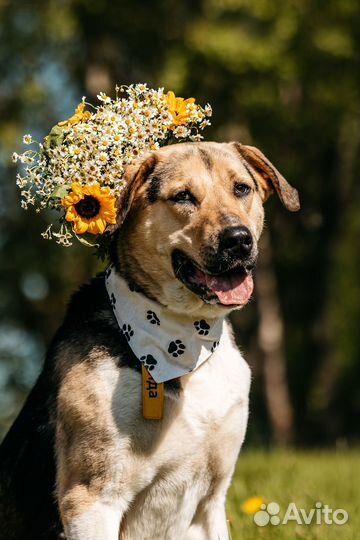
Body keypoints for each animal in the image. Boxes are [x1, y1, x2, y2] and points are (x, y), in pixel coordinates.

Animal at [0, 141, 298, 536]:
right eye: (183, 196)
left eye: (241, 189)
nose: (238, 240)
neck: (187, 339)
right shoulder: (91, 500)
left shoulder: (212, 502)